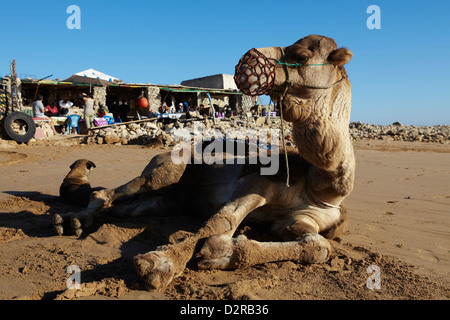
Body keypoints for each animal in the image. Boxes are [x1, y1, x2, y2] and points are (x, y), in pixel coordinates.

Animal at [53, 34, 356, 290]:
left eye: (302, 56)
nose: (249, 58)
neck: (322, 189)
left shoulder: (302, 220)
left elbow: (318, 247)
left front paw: (223, 252)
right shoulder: (256, 184)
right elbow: (221, 221)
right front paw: (160, 263)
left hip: (166, 201)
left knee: (126, 206)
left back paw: (80, 221)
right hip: (165, 169)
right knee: (114, 190)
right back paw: (70, 221)